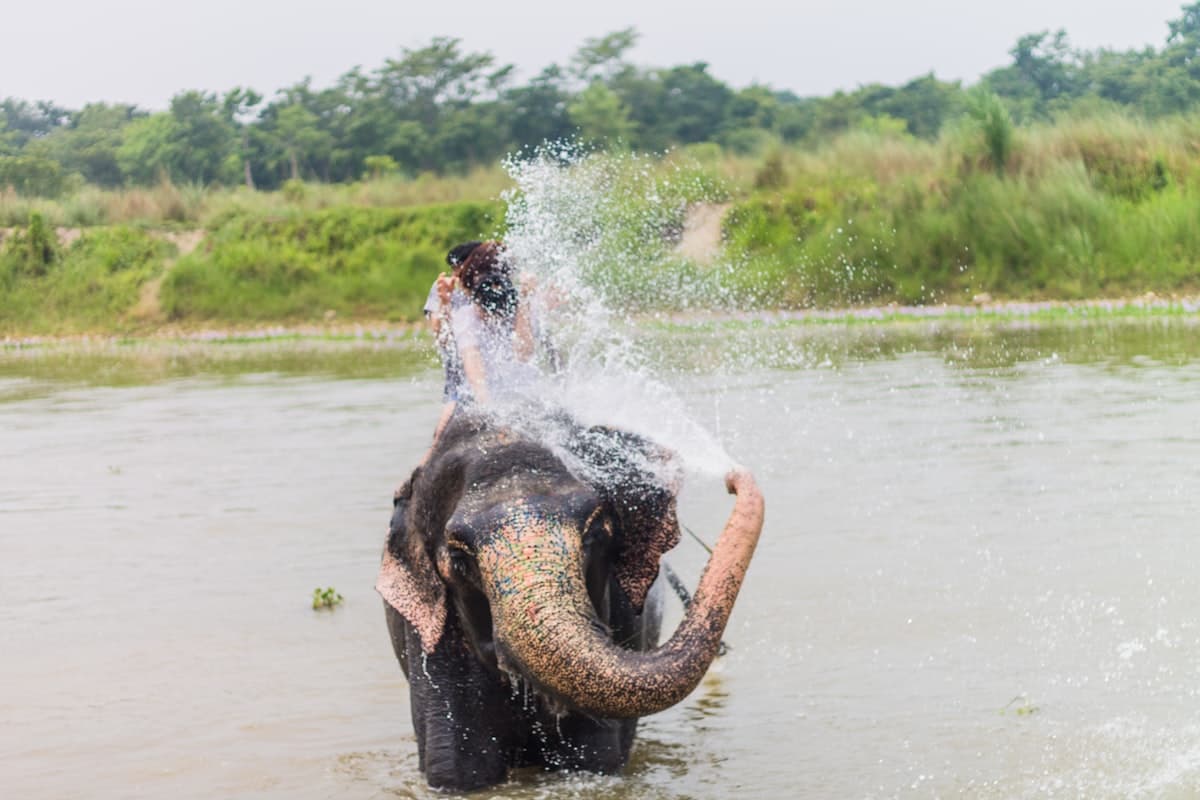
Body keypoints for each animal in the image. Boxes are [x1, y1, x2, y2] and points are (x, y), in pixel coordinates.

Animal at [376, 407, 765, 791]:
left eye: (594, 532)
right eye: (458, 558)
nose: (732, 479)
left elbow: (595, 758)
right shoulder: (433, 638)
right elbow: (455, 771)